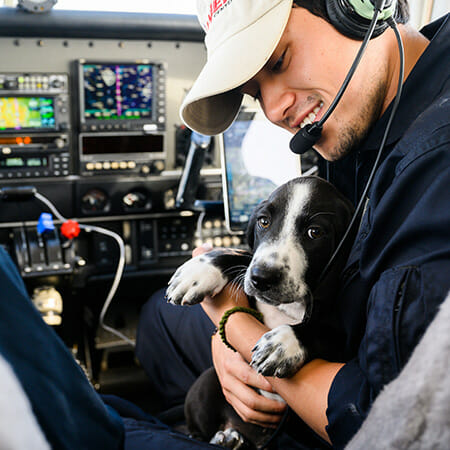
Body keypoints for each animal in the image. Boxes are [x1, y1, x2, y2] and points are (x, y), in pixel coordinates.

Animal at [167, 178, 354, 448]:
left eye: (315, 232)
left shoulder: (345, 341)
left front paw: (283, 344)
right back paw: (223, 437)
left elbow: (320, 331)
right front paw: (199, 272)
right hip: (205, 382)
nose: (262, 278)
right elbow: (240, 256)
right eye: (264, 222)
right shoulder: (250, 267)